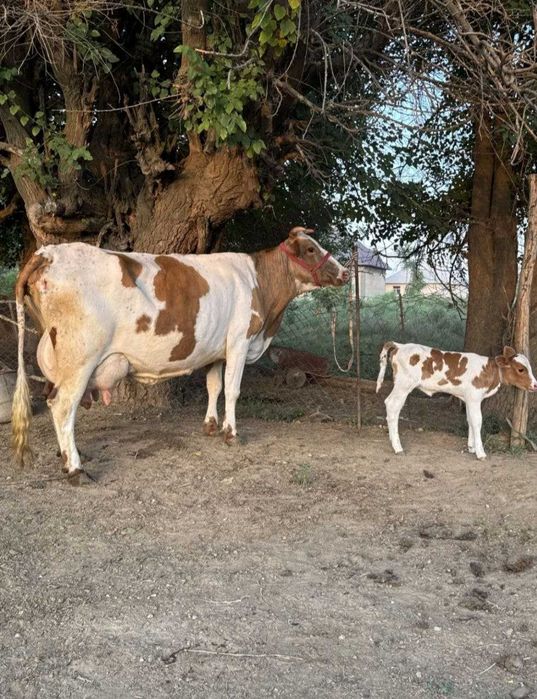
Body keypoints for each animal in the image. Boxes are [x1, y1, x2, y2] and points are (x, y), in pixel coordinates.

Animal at [12, 227, 349, 481]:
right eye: (310, 249)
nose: (345, 273)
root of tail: (48, 252)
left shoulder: (218, 350)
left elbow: (215, 386)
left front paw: (211, 426)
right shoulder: (239, 341)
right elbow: (233, 390)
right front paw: (231, 433)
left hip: (55, 356)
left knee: (55, 400)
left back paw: (65, 453)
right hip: (80, 357)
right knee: (62, 405)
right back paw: (75, 468)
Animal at [376, 341, 537, 460]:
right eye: (521, 369)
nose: (535, 385)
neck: (488, 371)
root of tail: (400, 345)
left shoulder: (468, 399)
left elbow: (470, 420)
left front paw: (471, 447)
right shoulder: (474, 397)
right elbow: (477, 421)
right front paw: (480, 453)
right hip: (403, 385)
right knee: (392, 406)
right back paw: (397, 447)